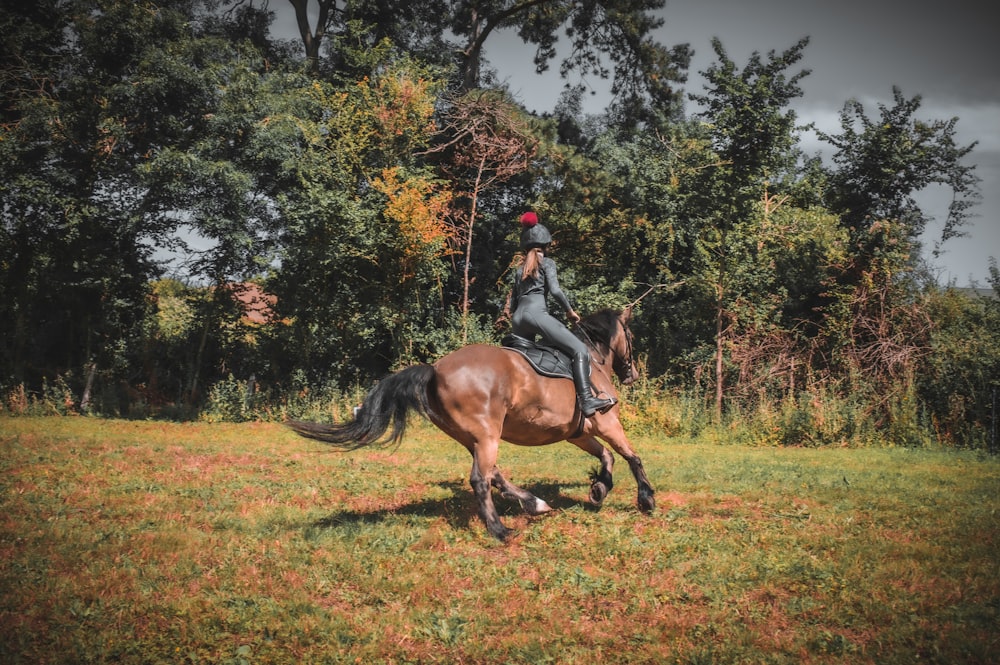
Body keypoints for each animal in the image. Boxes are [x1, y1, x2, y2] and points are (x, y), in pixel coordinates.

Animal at [288, 308, 656, 544]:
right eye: (631, 335)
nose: (634, 374)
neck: (592, 361)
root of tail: (435, 370)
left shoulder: (578, 433)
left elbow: (607, 457)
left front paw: (599, 489)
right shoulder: (607, 422)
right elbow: (631, 455)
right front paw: (646, 499)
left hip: (473, 437)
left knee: (493, 475)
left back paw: (533, 503)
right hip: (486, 435)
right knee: (481, 479)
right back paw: (501, 531)